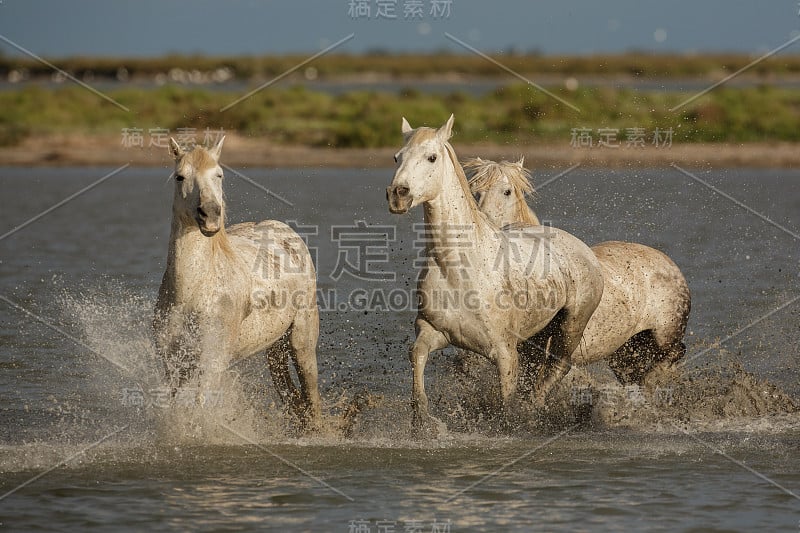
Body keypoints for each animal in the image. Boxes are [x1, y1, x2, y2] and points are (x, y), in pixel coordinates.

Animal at [153, 136, 322, 428]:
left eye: (219, 174)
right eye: (179, 176)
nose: (210, 214)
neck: (191, 293)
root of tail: (286, 231)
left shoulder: (212, 361)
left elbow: (202, 408)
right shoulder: (174, 365)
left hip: (302, 340)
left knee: (312, 397)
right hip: (275, 349)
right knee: (291, 395)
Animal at [384, 114, 604, 430]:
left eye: (431, 157)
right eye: (396, 157)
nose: (398, 195)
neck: (461, 269)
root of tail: (584, 250)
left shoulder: (505, 353)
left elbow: (506, 409)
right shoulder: (434, 331)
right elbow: (417, 359)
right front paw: (424, 424)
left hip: (571, 326)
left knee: (555, 369)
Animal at [466, 154, 692, 382]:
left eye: (507, 191)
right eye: (475, 191)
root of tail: (670, 264)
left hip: (665, 334)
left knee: (676, 352)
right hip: (626, 351)